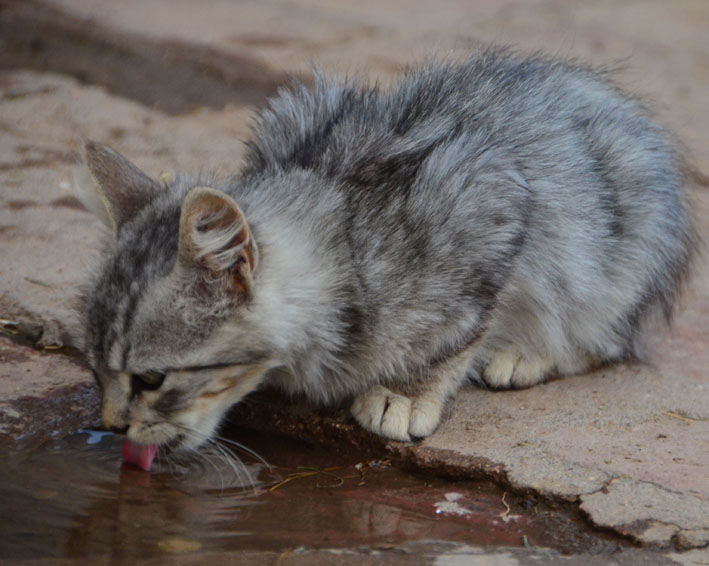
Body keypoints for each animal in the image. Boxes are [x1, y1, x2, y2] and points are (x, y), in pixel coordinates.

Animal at [74, 44, 696, 462]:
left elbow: (461, 331)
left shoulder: (492, 201)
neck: (345, 239)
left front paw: (406, 392)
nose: (112, 427)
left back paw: (529, 353)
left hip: (616, 257)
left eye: (151, 380)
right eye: (95, 368)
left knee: (608, 338)